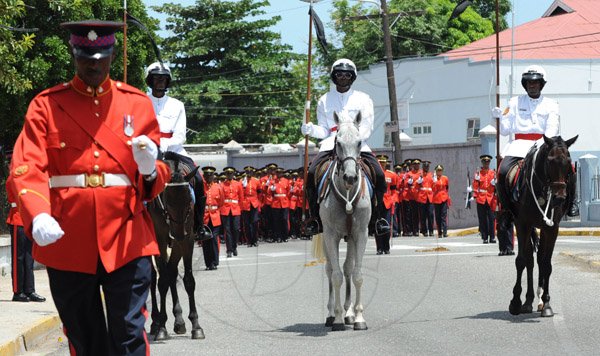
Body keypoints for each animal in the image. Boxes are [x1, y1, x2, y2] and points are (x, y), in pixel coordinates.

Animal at [148, 152, 206, 340]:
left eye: (189, 200)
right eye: (168, 201)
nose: (178, 233)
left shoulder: (187, 240)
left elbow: (188, 280)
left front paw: (195, 325)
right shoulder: (159, 239)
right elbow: (163, 280)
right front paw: (161, 328)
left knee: (172, 272)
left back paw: (179, 321)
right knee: (154, 277)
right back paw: (155, 322)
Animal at [504, 134, 580, 318]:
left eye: (568, 162)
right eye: (549, 161)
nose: (559, 198)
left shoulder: (552, 228)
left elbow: (546, 264)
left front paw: (546, 304)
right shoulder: (522, 224)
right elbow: (521, 260)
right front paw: (515, 302)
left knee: (538, 259)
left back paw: (537, 301)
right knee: (530, 260)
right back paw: (527, 301)